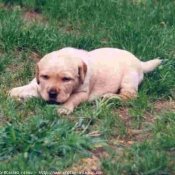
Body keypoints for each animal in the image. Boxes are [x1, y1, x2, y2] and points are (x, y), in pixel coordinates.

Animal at [9, 47, 162, 114]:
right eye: (45, 77)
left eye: (66, 79)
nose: (52, 94)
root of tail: (140, 62)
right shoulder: (40, 84)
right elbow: (32, 85)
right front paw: (16, 91)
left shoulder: (83, 92)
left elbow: (72, 98)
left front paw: (64, 108)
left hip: (128, 77)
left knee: (130, 95)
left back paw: (110, 96)